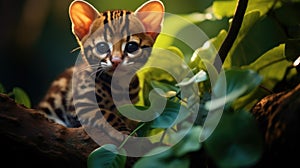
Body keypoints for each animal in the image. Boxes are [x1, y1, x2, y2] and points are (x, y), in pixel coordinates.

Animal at [37, 0, 165, 142]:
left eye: (131, 46)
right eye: (102, 47)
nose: (116, 60)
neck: (118, 86)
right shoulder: (81, 103)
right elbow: (109, 114)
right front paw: (124, 132)